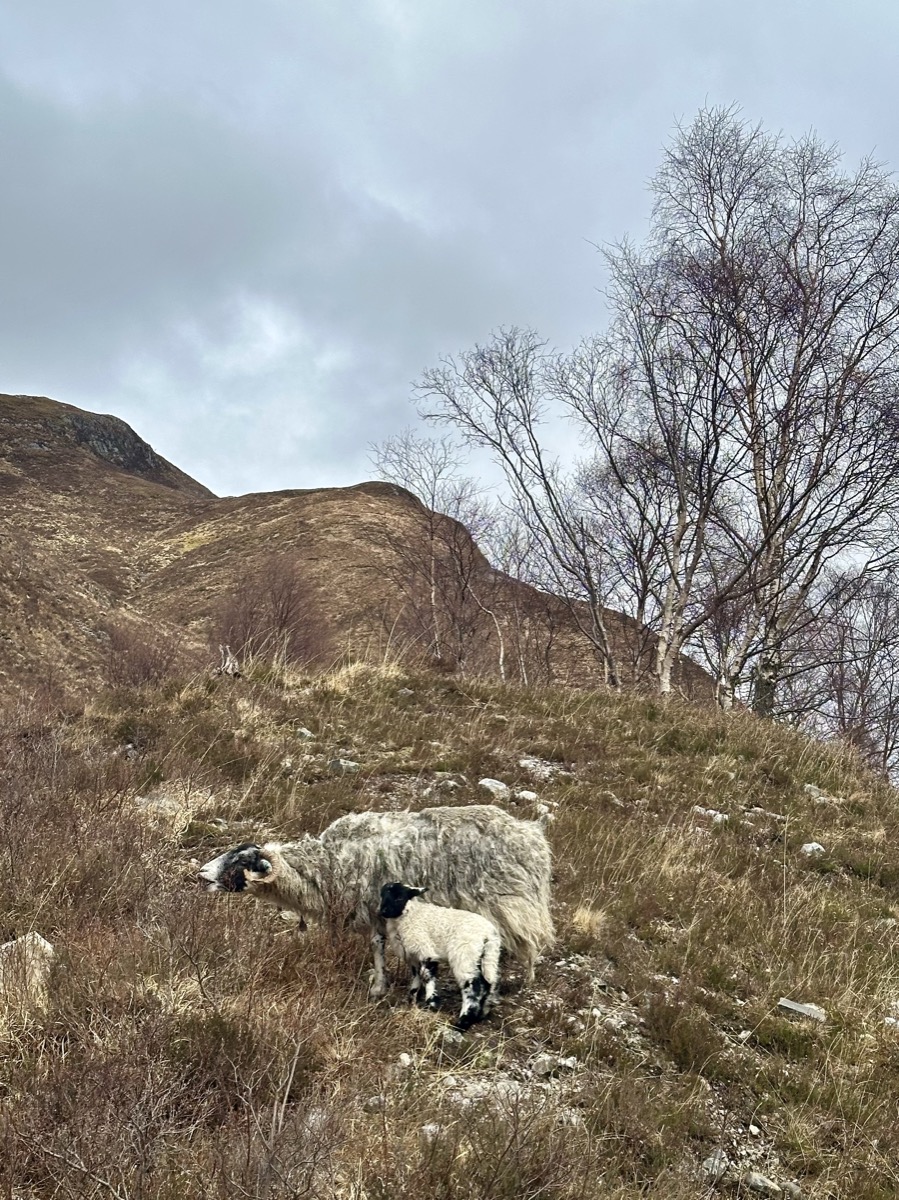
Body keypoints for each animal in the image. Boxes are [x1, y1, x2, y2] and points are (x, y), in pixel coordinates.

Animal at [199, 803, 553, 997]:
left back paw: (522, 981)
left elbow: (377, 946)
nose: (201, 874)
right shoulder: (378, 912)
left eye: (241, 862)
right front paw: (387, 983)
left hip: (509, 903)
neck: (325, 866)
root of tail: (530, 834)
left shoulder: (374, 905)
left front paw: (380, 987)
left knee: (525, 942)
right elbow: (380, 946)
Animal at [378, 882, 501, 1030]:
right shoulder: (414, 957)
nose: (384, 911)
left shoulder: (426, 951)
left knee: (473, 986)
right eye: (383, 895)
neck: (410, 915)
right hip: (486, 956)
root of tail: (490, 934)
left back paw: (463, 1022)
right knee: (488, 982)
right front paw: (412, 1000)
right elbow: (416, 976)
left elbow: (426, 977)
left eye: (400, 897)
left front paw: (431, 1004)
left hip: (464, 954)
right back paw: (482, 1013)